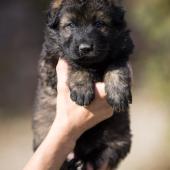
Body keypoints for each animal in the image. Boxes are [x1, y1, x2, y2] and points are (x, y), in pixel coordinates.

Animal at [32, 0, 134, 169]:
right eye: (70, 25)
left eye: (99, 23)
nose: (85, 48)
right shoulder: (52, 61)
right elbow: (75, 64)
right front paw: (82, 89)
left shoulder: (121, 51)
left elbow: (116, 66)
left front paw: (118, 93)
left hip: (119, 138)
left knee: (104, 154)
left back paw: (84, 162)